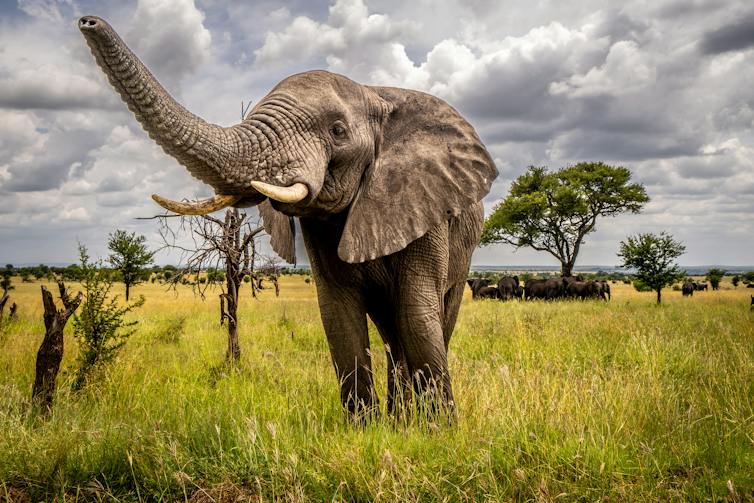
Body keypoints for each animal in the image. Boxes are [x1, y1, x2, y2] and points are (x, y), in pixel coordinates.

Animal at [79, 17, 497, 419]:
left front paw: (437, 430)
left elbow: (417, 314)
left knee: (430, 318)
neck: (374, 93)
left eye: (338, 130)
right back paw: (399, 418)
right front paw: (367, 430)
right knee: (391, 333)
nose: (87, 22)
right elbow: (339, 316)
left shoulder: (426, 203)